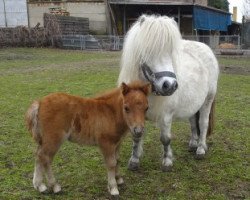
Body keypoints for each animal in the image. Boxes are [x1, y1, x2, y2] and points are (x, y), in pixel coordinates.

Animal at [117, 14, 219, 172]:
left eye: (171, 52)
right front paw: (134, 161)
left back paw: (201, 149)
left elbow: (165, 139)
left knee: (203, 123)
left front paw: (167, 162)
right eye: (149, 50)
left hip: (207, 100)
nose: (170, 85)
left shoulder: (165, 115)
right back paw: (193, 144)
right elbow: (137, 136)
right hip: (193, 104)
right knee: (193, 123)